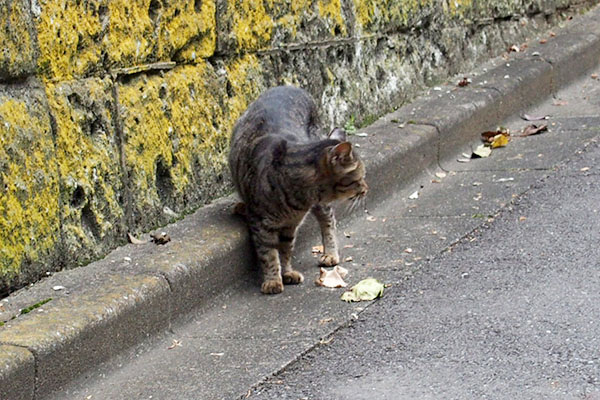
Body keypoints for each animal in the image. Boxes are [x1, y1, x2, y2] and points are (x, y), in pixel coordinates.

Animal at [230, 86, 368, 294]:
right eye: (359, 179)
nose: (366, 189)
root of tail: (289, 86)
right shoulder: (262, 224)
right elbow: (269, 254)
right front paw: (273, 279)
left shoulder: (291, 225)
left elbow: (285, 250)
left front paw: (286, 272)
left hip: (322, 206)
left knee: (328, 221)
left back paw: (330, 253)